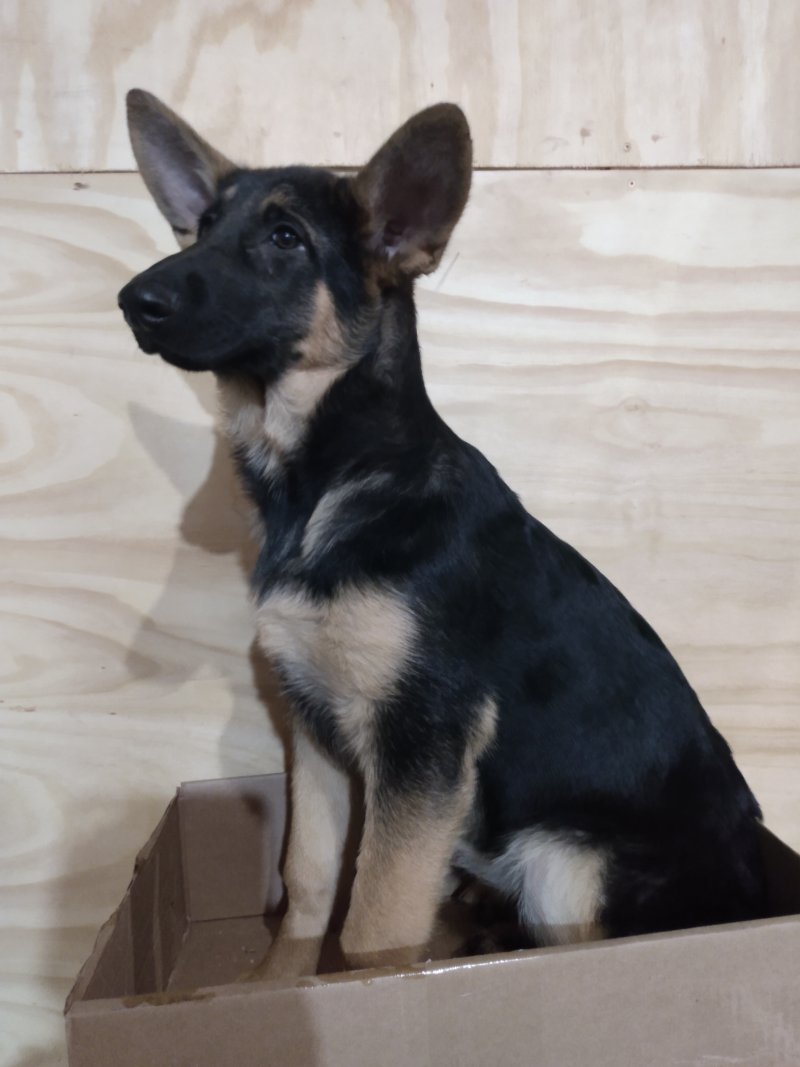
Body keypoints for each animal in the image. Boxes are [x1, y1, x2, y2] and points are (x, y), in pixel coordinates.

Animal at [118, 90, 768, 977]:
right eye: (205, 226)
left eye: (285, 238)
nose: (131, 300)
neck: (330, 482)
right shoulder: (316, 730)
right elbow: (310, 876)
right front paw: (274, 983)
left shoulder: (423, 740)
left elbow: (374, 923)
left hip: (565, 858)